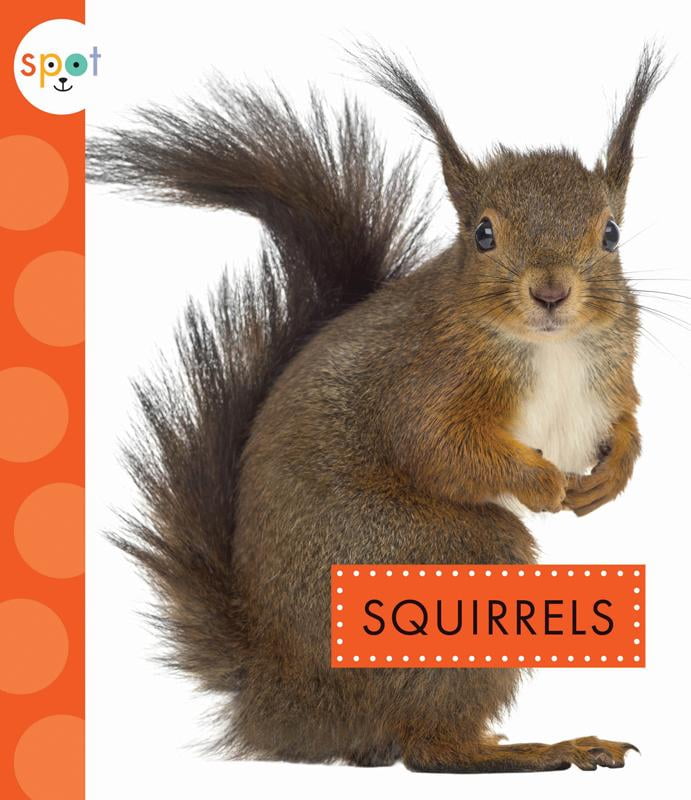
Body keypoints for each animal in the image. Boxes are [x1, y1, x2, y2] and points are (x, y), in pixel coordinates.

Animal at [88, 45, 664, 772]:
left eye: (610, 233)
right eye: (482, 235)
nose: (551, 292)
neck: (547, 346)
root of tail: (283, 701)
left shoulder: (610, 374)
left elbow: (625, 423)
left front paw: (610, 476)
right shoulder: (422, 384)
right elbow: (443, 452)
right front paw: (542, 483)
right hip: (445, 559)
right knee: (426, 750)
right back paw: (540, 748)